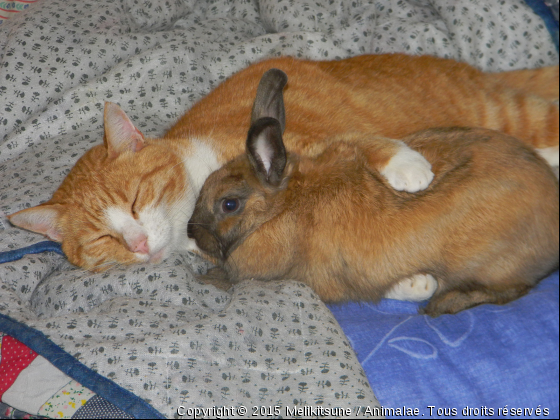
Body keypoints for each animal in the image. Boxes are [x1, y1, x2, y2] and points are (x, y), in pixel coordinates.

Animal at [6, 53, 556, 276]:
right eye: (104, 239)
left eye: (138, 198)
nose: (139, 245)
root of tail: (476, 73)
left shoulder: (301, 138)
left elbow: (359, 139)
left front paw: (404, 163)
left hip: (507, 112)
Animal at [188, 73, 560, 316]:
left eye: (229, 204)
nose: (191, 231)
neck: (285, 205)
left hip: (489, 265)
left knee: (511, 289)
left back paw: (441, 305)